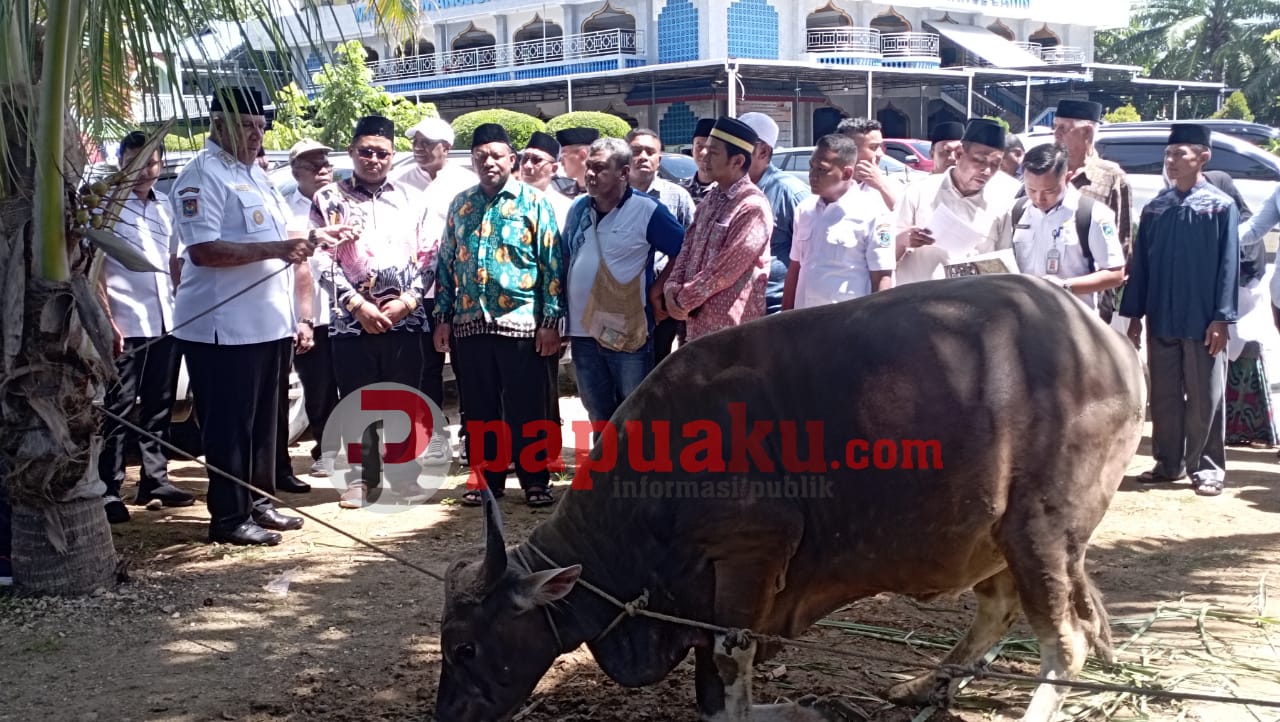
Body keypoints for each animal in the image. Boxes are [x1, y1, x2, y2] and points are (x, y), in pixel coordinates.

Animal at [435, 273, 1146, 716]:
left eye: (465, 646)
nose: (446, 716)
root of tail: (1108, 344)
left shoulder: (750, 555)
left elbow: (728, 671)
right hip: (996, 536)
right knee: (998, 609)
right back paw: (922, 686)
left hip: (1041, 531)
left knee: (1066, 644)